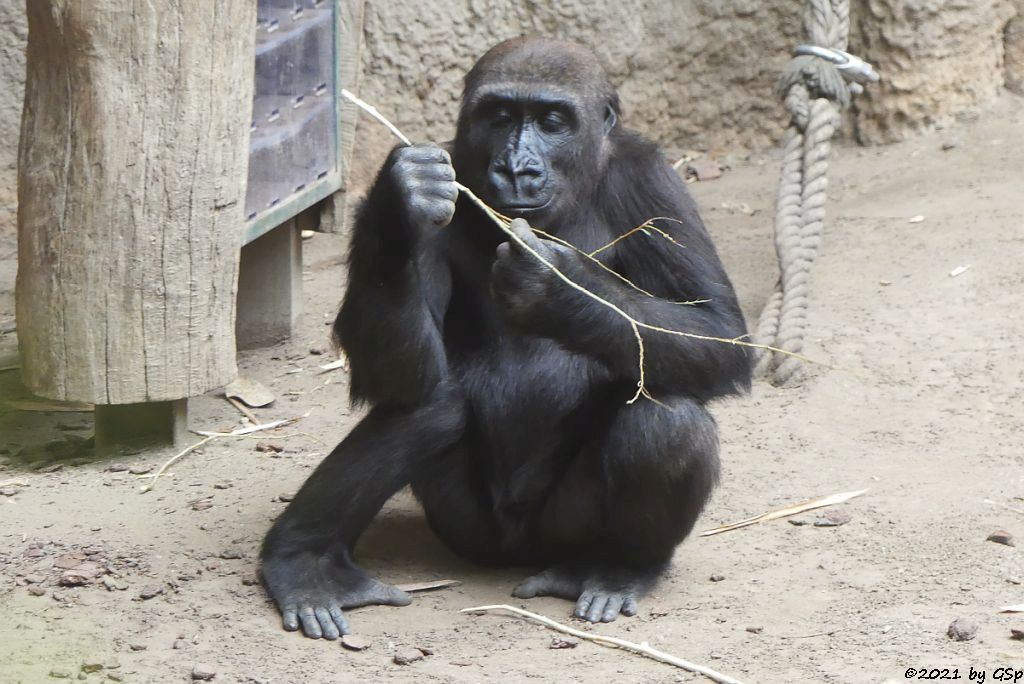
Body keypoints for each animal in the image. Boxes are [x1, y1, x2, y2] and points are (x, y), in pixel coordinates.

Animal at [260, 36, 749, 634]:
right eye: (499, 116)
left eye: (553, 120)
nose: (517, 169)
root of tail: (515, 554)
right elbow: (402, 377)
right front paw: (400, 198)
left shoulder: (653, 178)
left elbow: (720, 332)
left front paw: (556, 290)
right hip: (464, 527)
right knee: (431, 405)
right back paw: (303, 560)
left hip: (561, 531)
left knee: (668, 420)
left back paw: (620, 568)